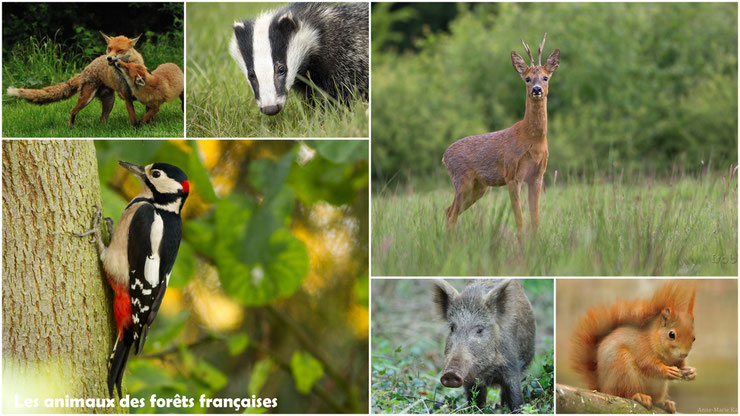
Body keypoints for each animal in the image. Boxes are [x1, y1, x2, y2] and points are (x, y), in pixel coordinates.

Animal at [7, 32, 145, 127]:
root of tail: (84, 70)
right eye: (109, 48)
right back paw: (71, 127)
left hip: (109, 101)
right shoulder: (126, 96)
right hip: (86, 99)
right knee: (72, 111)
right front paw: (136, 129)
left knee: (102, 120)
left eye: (120, 50)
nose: (109, 58)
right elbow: (133, 118)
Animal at [442, 32, 556, 232]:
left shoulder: (537, 176)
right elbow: (520, 219)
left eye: (545, 77)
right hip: (462, 180)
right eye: (527, 78)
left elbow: (535, 219)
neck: (532, 139)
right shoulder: (512, 175)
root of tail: (444, 156)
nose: (536, 90)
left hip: (479, 187)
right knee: (450, 214)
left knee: (449, 211)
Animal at [568, 282, 696, 414]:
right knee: (626, 393)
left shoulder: (675, 359)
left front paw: (691, 372)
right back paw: (640, 396)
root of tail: (603, 389)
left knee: (656, 399)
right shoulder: (642, 347)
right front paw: (667, 370)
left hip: (658, 387)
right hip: (622, 369)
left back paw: (665, 403)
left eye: (694, 338)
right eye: (671, 334)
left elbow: (680, 365)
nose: (684, 354)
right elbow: (647, 364)